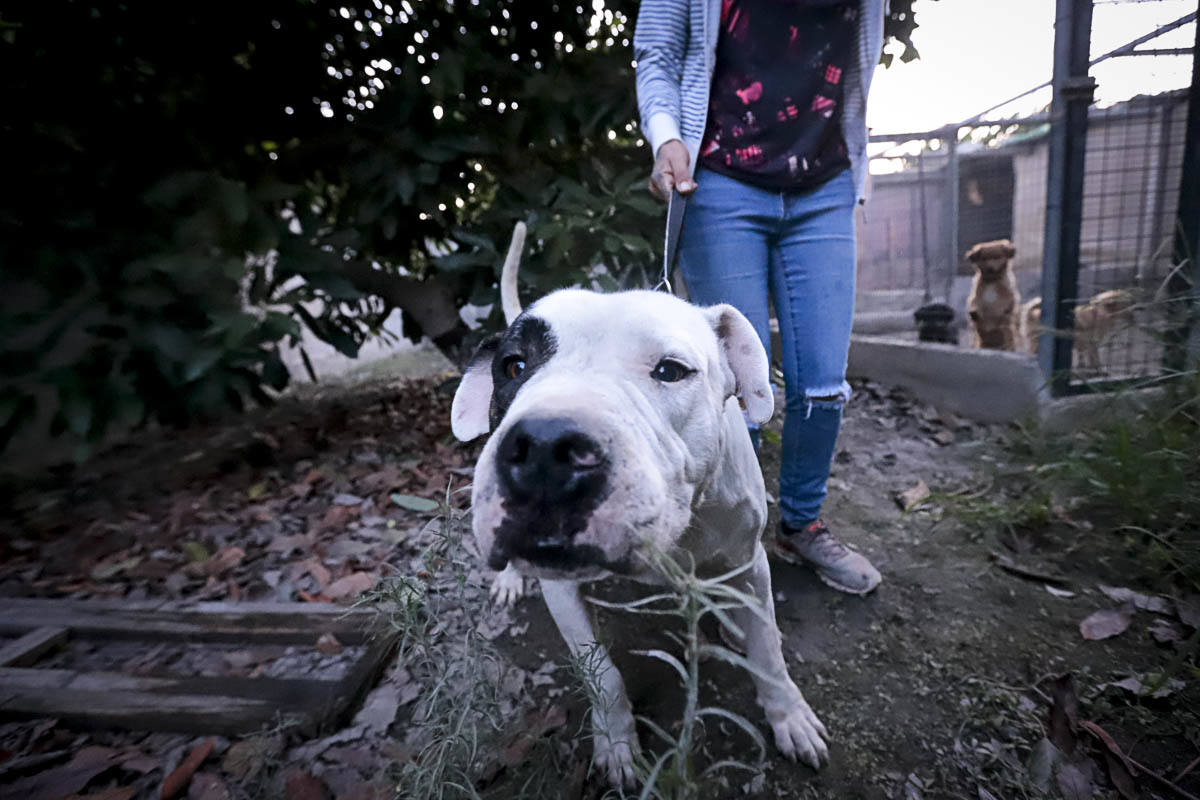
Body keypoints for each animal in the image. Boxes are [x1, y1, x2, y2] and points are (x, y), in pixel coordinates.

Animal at [446, 225, 830, 786]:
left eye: (671, 370)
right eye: (513, 366)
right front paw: (617, 744)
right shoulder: (562, 590)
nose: (544, 450)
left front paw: (789, 717)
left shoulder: (748, 561)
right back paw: (511, 577)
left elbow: (768, 650)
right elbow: (601, 675)